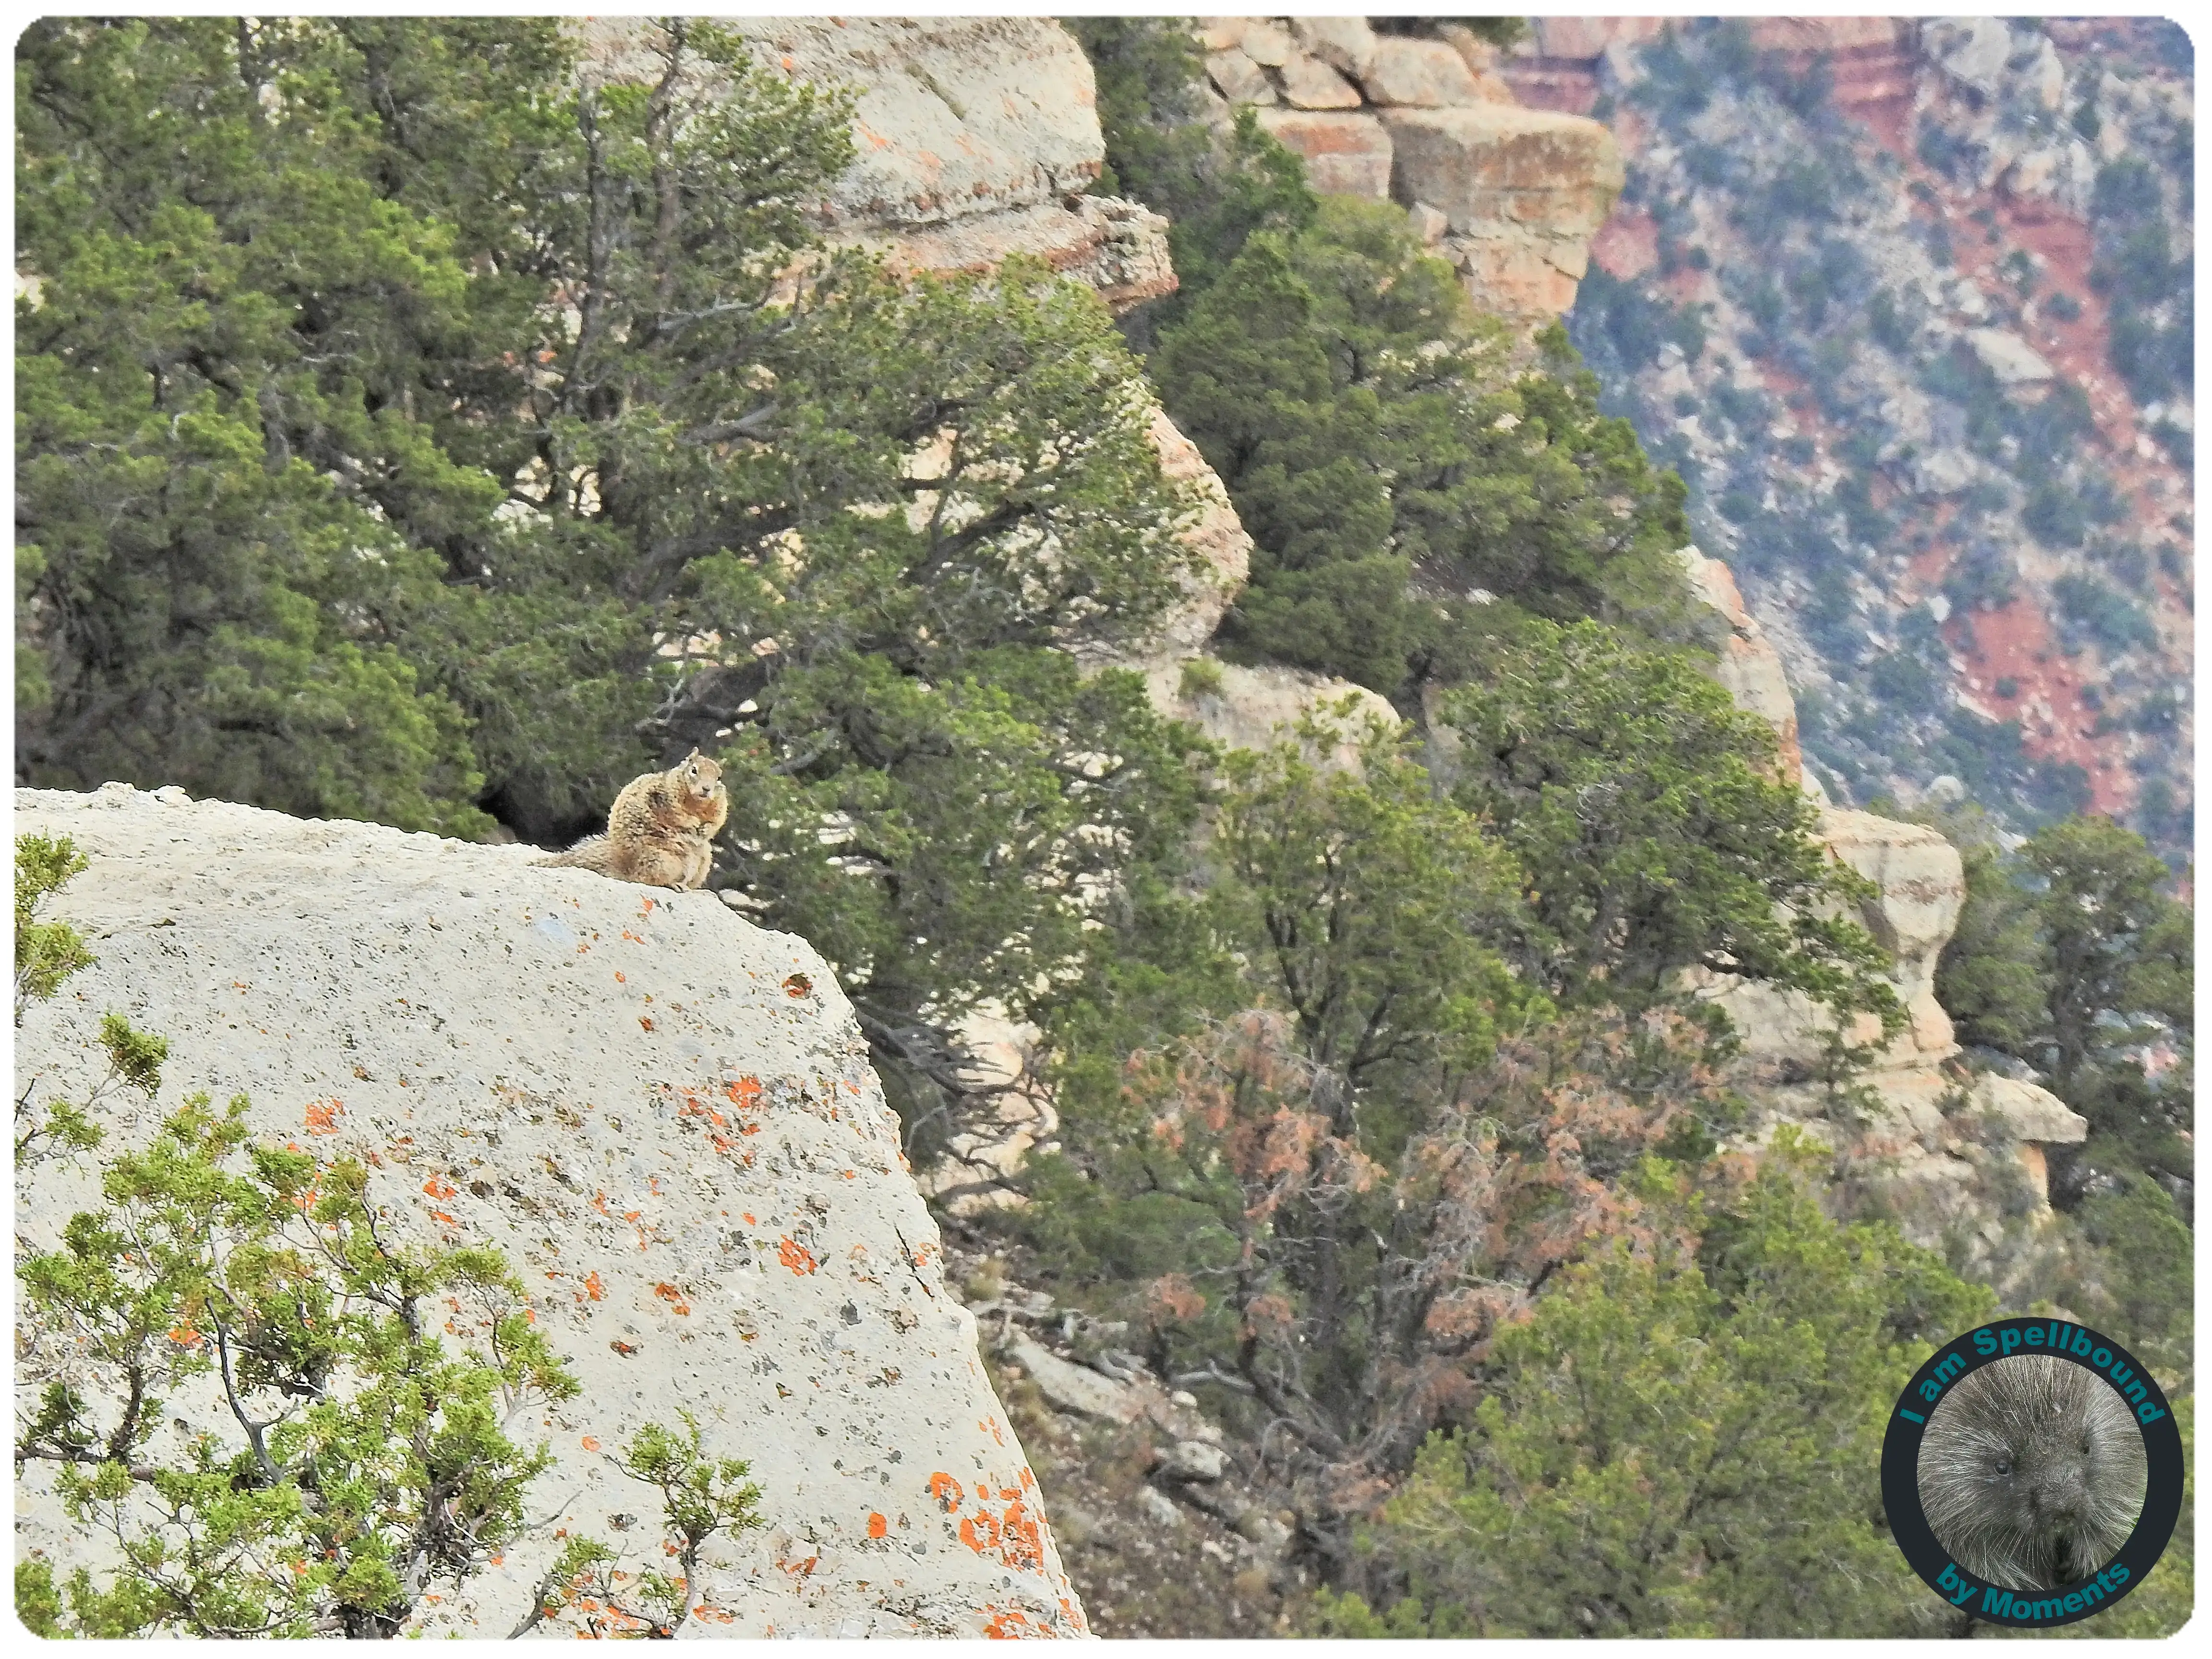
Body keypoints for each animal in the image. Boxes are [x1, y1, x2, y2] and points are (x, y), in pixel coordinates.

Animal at [539, 749, 729, 892]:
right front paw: (691, 822)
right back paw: (673, 884)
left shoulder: (719, 803)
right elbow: (676, 814)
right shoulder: (664, 798)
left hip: (703, 863)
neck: (697, 804)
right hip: (662, 861)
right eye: (694, 770)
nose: (707, 789)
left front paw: (706, 829)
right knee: (648, 879)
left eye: (719, 777)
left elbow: (717, 820)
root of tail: (623, 866)